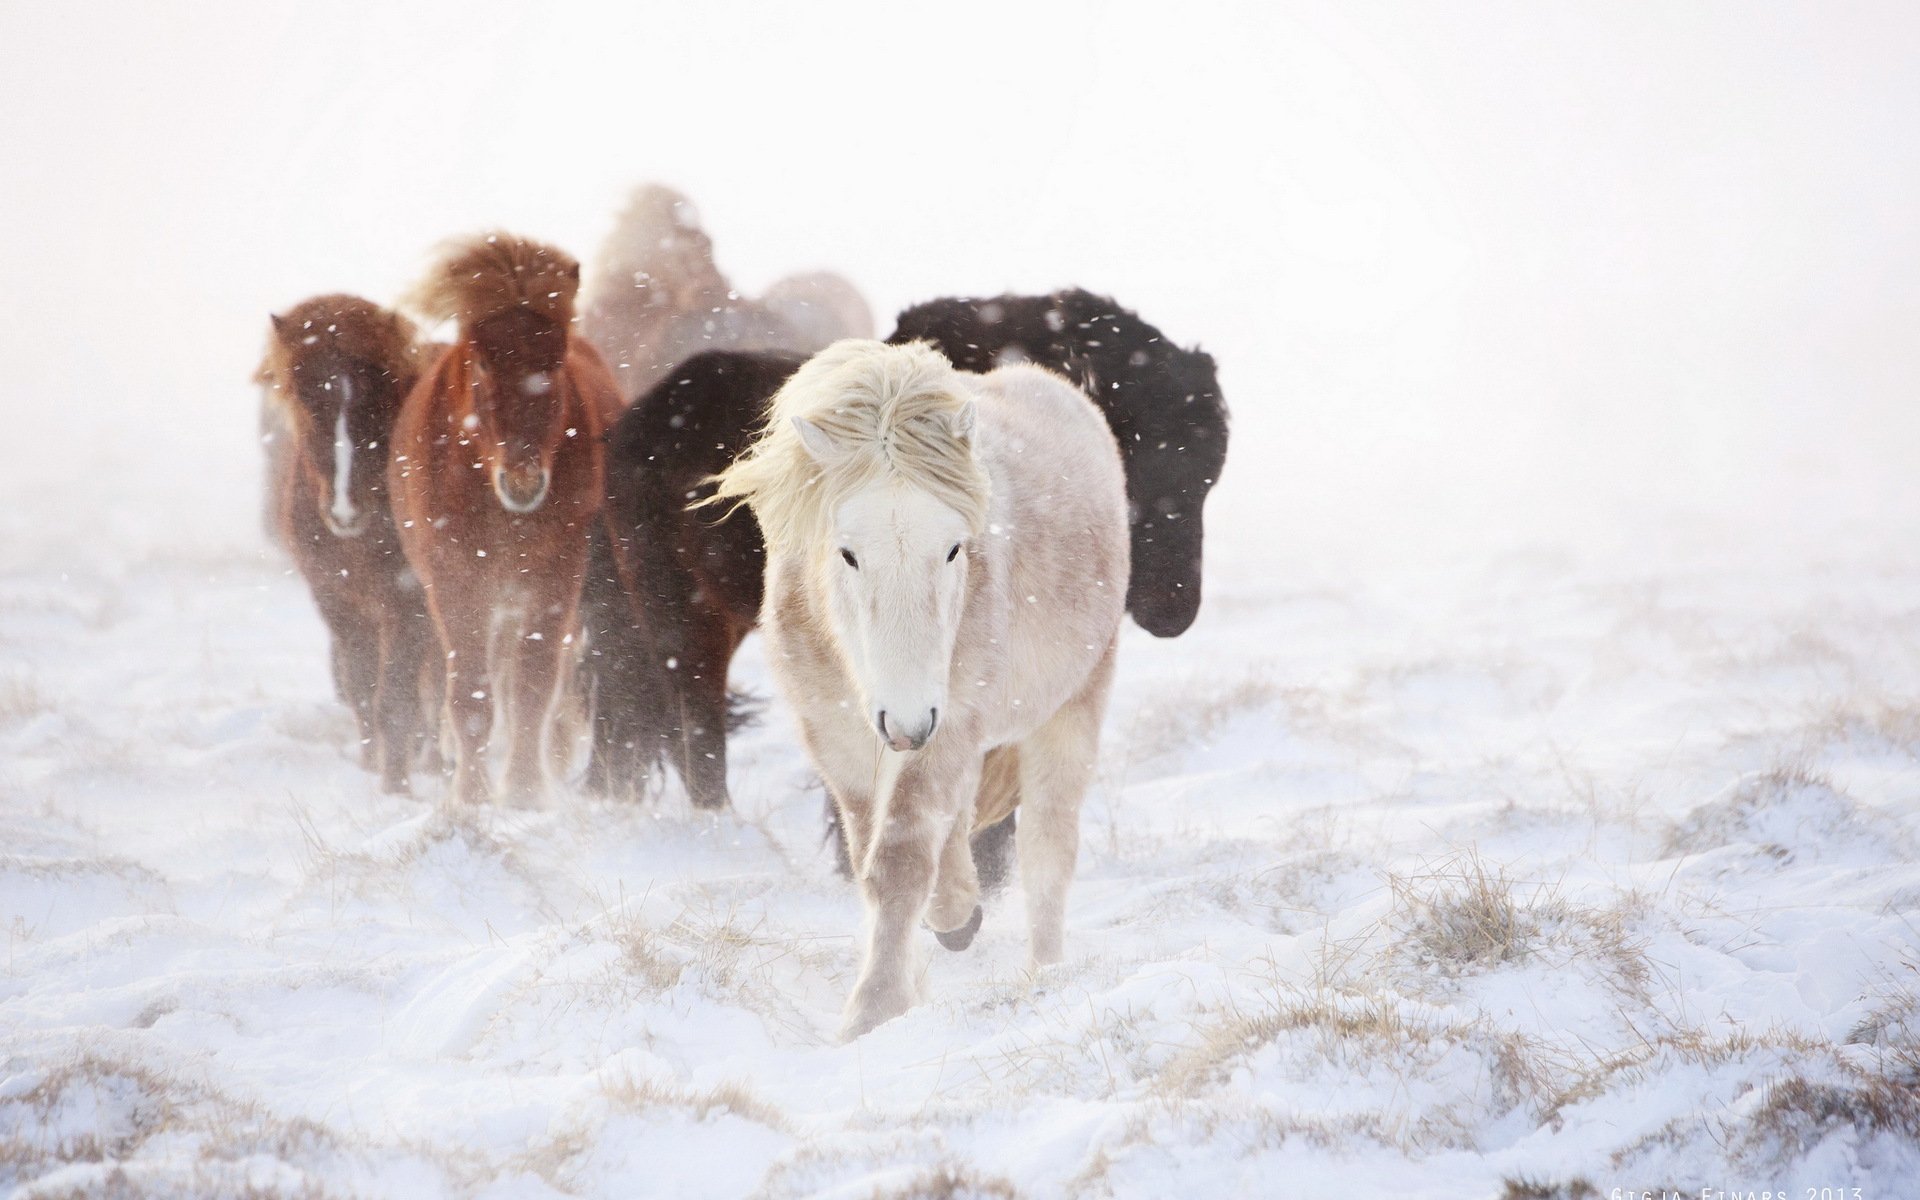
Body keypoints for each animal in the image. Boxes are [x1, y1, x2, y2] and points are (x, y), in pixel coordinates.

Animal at [255, 294, 439, 793]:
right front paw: (372, 768)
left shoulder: (408, 602)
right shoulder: (337, 600)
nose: (343, 508)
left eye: (377, 393)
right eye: (303, 395)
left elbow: (396, 700)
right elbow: (362, 689)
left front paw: (396, 790)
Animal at [389, 233, 622, 806]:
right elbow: (471, 694)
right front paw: (470, 799)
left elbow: (534, 686)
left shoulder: (555, 579)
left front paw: (523, 793)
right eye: (481, 363)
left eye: (556, 360)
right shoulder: (456, 582)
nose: (523, 482)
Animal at [709, 340, 1129, 1038]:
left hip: (1071, 703)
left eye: (955, 548)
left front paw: (873, 1011)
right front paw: (913, 967)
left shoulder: (951, 717)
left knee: (1047, 848)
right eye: (847, 553)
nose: (907, 723)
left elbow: (902, 858)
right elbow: (872, 859)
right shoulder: (839, 738)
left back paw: (1044, 970)